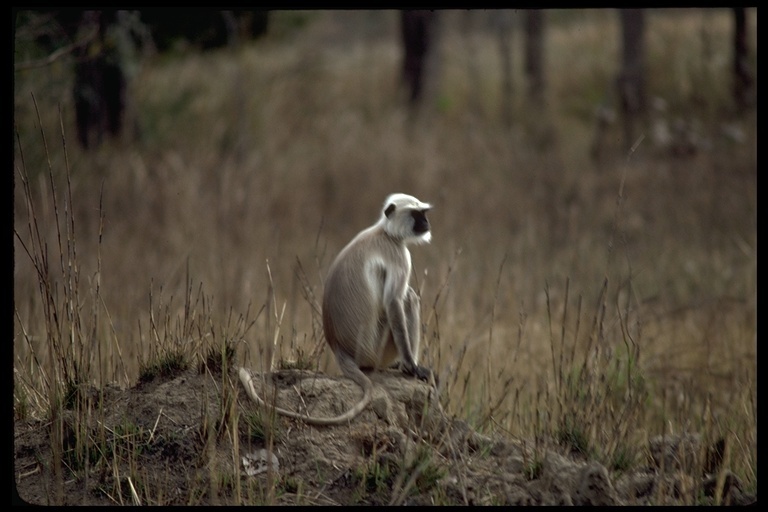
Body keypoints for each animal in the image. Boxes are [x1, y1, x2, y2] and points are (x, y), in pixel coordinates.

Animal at [237, 192, 436, 424]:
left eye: (423, 213)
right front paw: (412, 367)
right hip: (376, 351)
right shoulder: (398, 254)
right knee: (408, 298)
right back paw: (403, 366)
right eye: (416, 214)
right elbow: (394, 302)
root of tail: (341, 350)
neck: (385, 232)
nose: (426, 223)